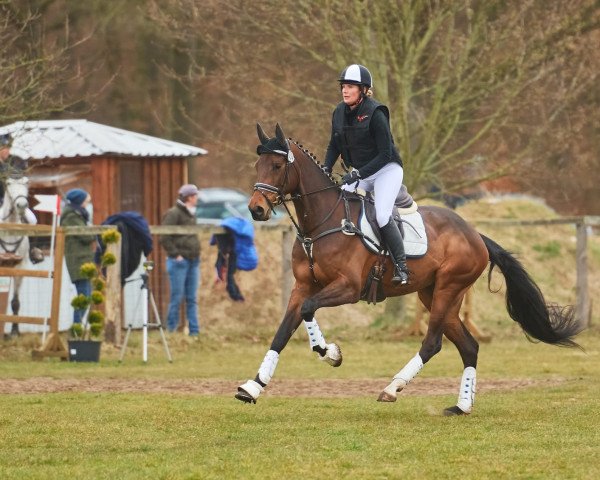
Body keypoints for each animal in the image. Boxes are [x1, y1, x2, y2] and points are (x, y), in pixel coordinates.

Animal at [237, 124, 584, 416]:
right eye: (257, 165)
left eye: (277, 166)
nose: (256, 208)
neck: (322, 223)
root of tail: (475, 234)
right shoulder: (302, 287)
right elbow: (283, 331)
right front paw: (252, 386)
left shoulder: (347, 288)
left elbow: (309, 311)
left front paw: (329, 352)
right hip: (436, 296)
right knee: (469, 346)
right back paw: (461, 407)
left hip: (447, 289)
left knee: (432, 343)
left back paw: (393, 388)